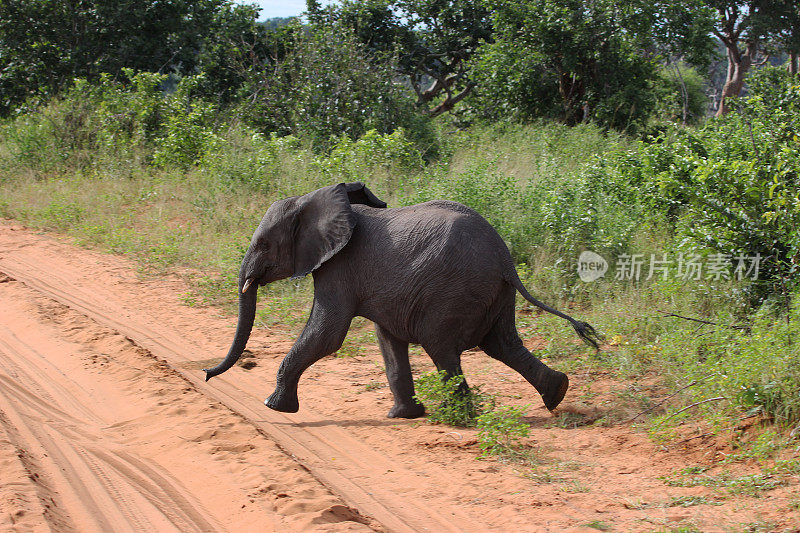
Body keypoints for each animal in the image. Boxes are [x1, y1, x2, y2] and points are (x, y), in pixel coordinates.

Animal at [206, 183, 600, 416]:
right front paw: (404, 415)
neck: (315, 199)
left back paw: (459, 418)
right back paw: (557, 393)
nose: (207, 375)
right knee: (502, 344)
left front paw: (274, 408)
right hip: (495, 292)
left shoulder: (338, 269)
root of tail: (504, 256)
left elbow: (328, 334)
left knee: (442, 345)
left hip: (454, 291)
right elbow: (387, 339)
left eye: (263, 245)